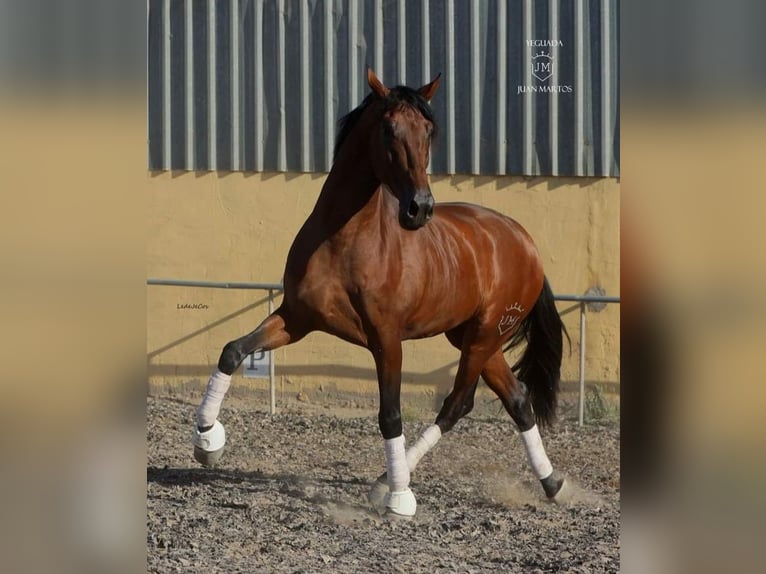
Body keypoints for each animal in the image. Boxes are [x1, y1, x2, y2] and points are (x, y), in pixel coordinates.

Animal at [192, 70, 568, 520]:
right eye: (389, 129)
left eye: (429, 131)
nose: (420, 209)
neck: (343, 241)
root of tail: (524, 241)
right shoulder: (296, 319)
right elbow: (233, 351)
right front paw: (208, 440)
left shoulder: (387, 340)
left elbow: (390, 414)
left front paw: (401, 500)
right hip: (475, 339)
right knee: (517, 399)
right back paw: (552, 483)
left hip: (482, 337)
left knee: (458, 403)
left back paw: (387, 482)